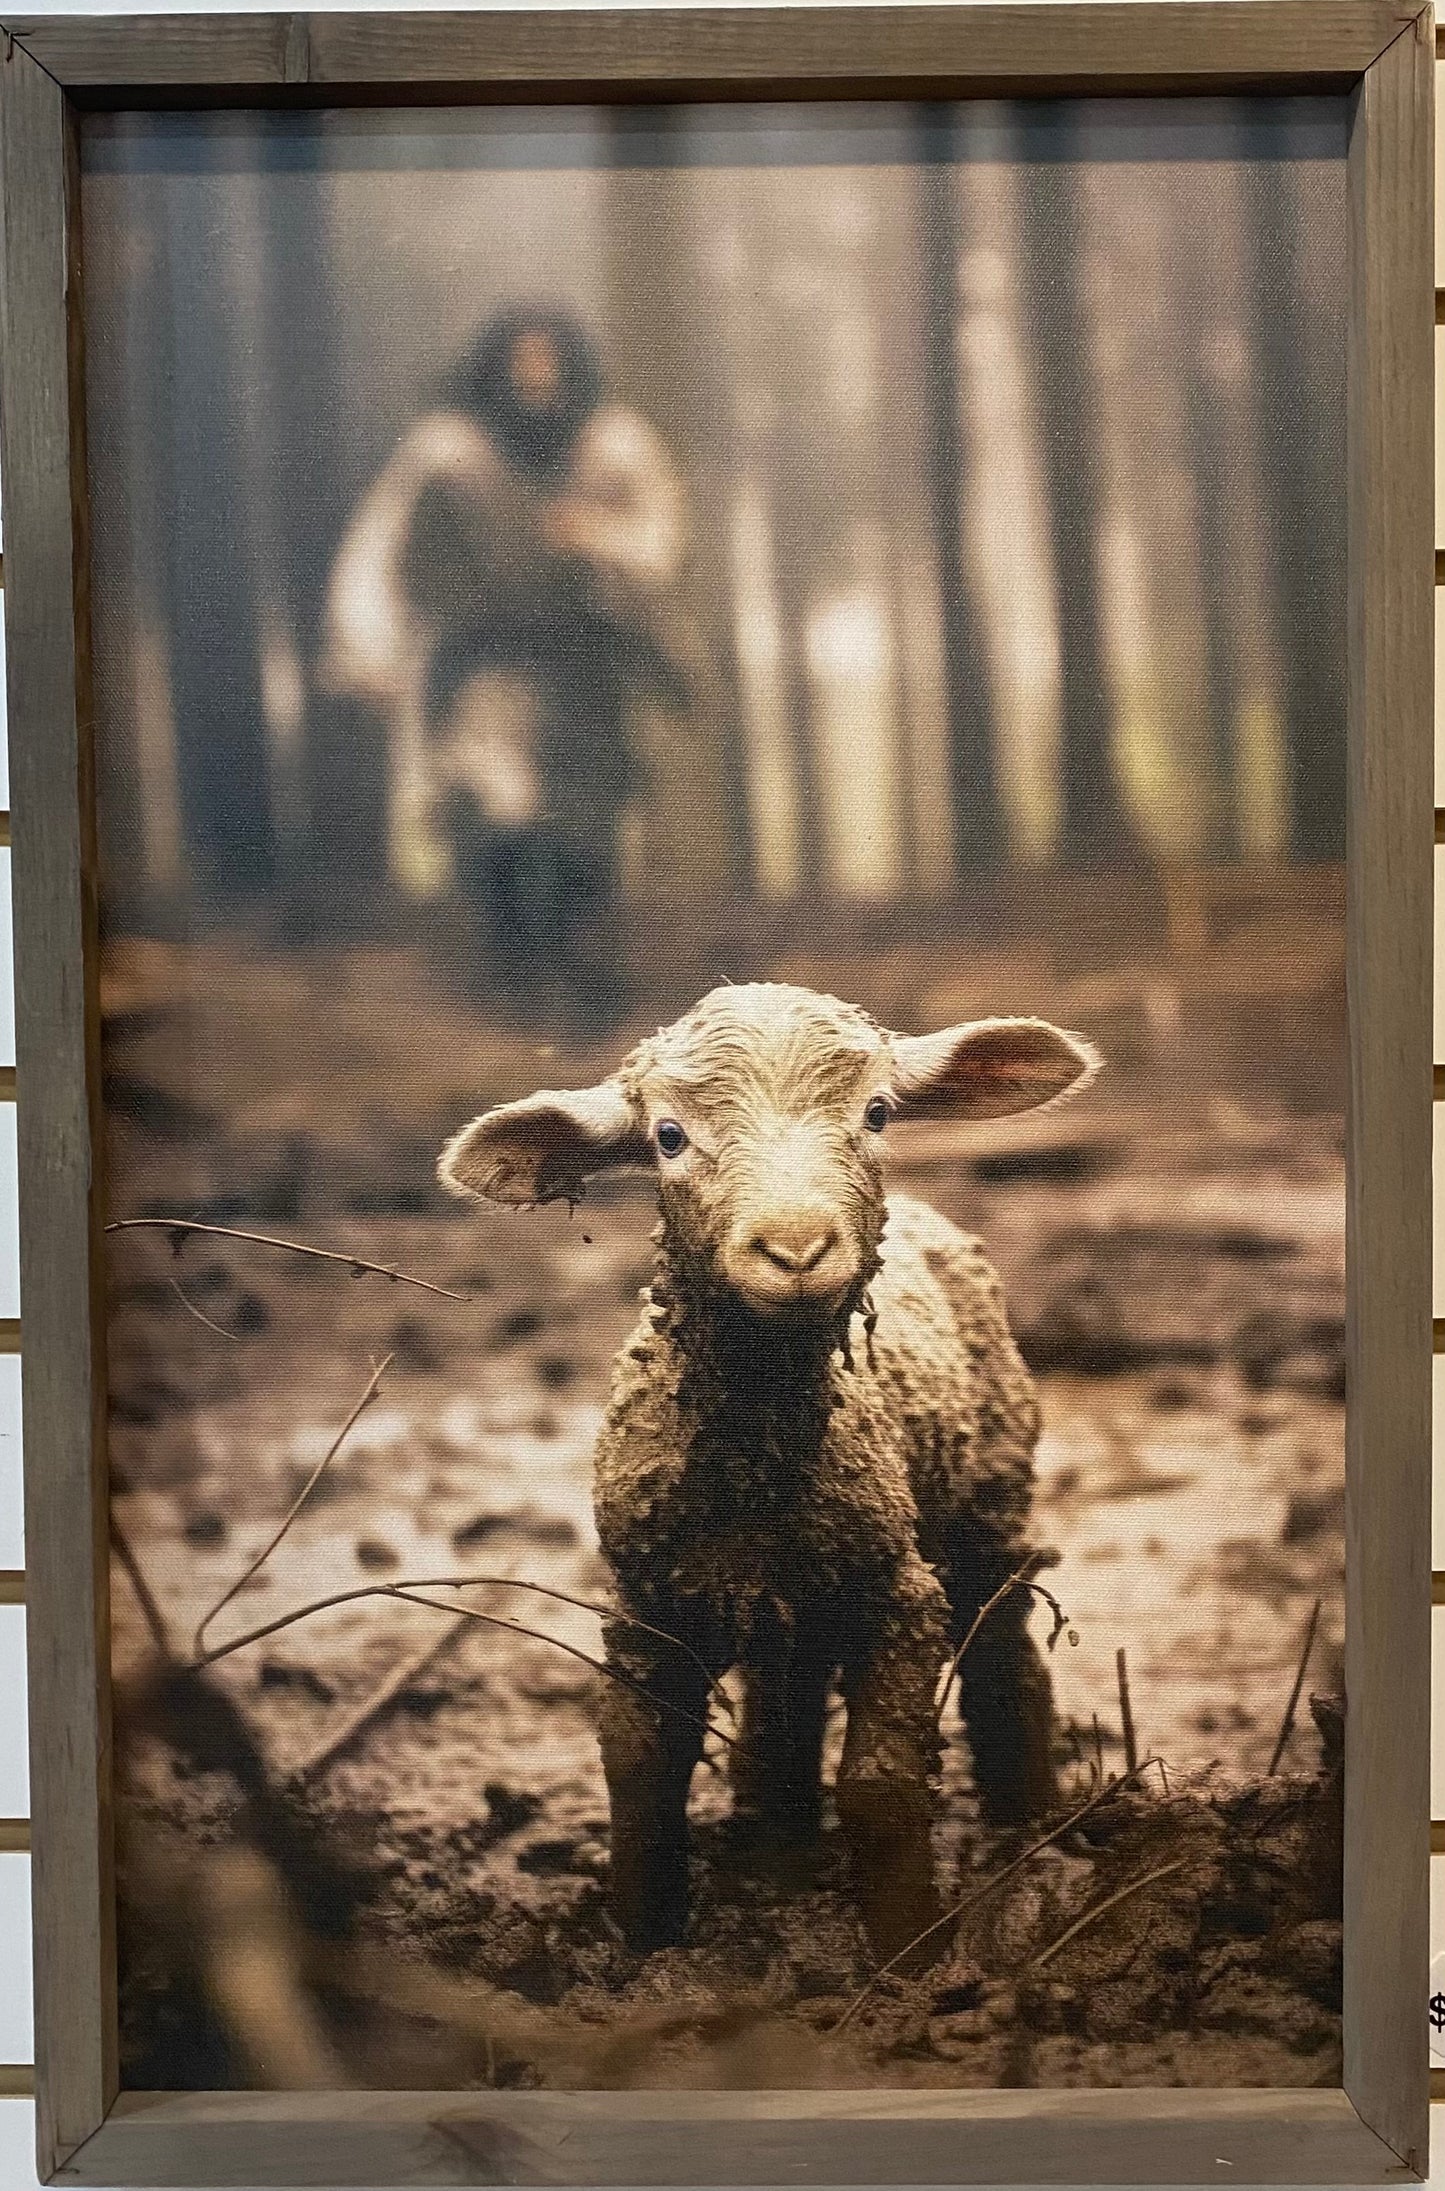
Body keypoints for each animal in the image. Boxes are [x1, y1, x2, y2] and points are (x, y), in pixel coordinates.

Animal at [439, 981, 1099, 1965]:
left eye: (875, 1112)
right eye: (668, 1135)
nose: (794, 1249)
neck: (757, 1458)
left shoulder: (897, 1591)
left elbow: (879, 1783)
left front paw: (910, 1953)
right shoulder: (646, 1603)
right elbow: (637, 1770)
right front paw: (638, 1941)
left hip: (988, 1494)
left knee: (1002, 1642)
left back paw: (1033, 1824)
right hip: (790, 1588)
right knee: (784, 1684)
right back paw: (773, 1838)